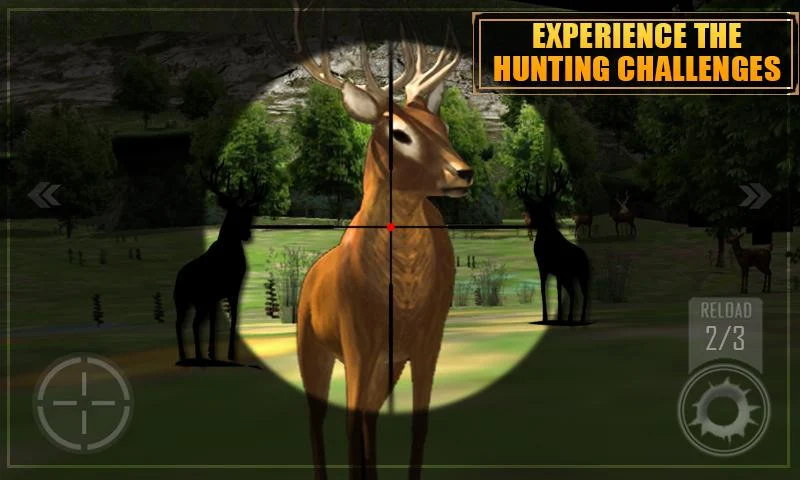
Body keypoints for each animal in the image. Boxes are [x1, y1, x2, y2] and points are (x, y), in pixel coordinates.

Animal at [174, 162, 267, 365]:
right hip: (186, 299)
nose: (247, 234)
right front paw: (220, 353)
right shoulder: (223, 289)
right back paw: (191, 356)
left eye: (247, 216)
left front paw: (219, 353)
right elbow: (224, 320)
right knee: (186, 323)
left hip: (192, 301)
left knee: (187, 323)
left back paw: (192, 355)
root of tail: (178, 278)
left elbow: (223, 320)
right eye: (233, 214)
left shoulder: (224, 292)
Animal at [265, 3, 471, 479]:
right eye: (399, 132)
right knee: (322, 418)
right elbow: (351, 422)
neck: (404, 295)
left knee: (368, 416)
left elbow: (417, 424)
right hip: (312, 343)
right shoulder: (357, 337)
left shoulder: (428, 337)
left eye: (441, 124)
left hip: (383, 364)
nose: (462, 172)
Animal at [518, 168, 591, 324]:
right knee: (578, 293)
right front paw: (555, 317)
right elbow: (553, 290)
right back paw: (575, 318)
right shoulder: (552, 270)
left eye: (539, 209)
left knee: (578, 293)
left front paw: (549, 317)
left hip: (575, 274)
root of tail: (585, 257)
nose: (531, 223)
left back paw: (576, 319)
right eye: (534, 209)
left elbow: (546, 289)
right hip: (576, 275)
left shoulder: (547, 266)